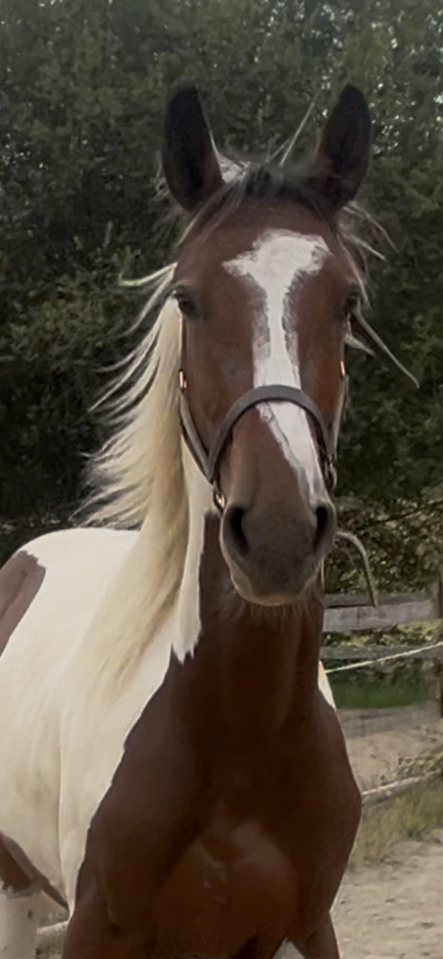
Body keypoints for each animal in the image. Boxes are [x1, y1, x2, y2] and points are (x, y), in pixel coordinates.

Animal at [0, 83, 411, 959]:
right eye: (188, 298)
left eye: (346, 301)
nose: (279, 533)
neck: (237, 742)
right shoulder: (93, 927)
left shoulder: (304, 926)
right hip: (14, 882)